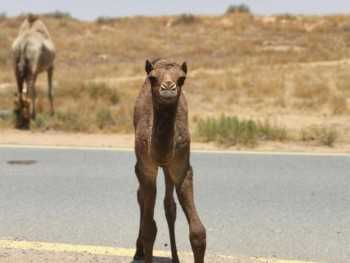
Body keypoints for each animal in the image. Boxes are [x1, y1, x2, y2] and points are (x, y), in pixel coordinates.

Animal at [133, 59, 206, 263]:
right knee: (141, 196)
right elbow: (150, 229)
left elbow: (198, 232)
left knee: (169, 205)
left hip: (167, 169)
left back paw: (175, 257)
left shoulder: (181, 166)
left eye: (181, 78)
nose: (168, 87)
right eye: (152, 78)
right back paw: (138, 251)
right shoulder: (146, 167)